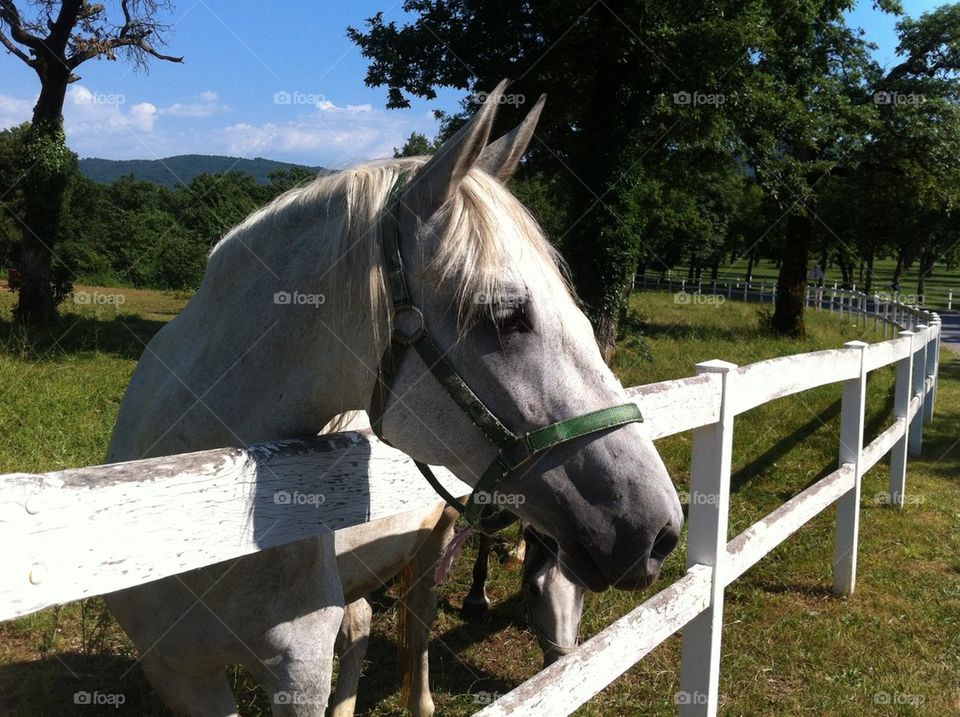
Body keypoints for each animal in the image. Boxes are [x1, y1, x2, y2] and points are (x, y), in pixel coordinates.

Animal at [103, 81, 684, 712]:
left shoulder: (298, 669)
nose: (660, 532)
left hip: (433, 541)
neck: (195, 510)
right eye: (504, 314)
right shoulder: (179, 674)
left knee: (414, 619)